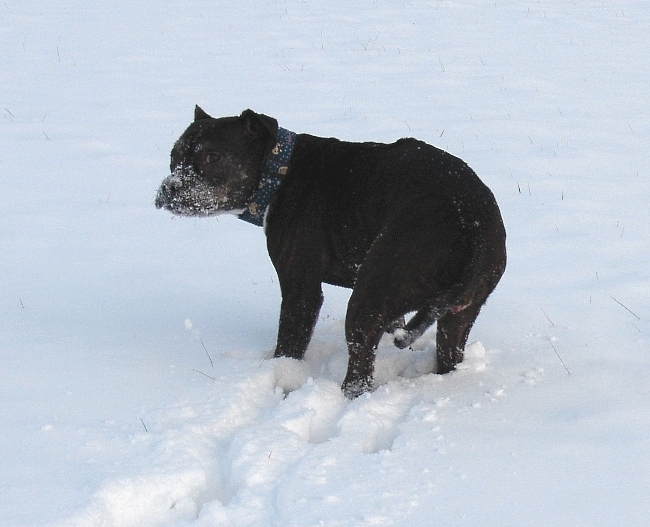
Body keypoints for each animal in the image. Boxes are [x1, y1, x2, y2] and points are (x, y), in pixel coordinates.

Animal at [154, 106, 504, 396]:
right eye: (174, 156)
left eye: (212, 157)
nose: (167, 189)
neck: (279, 171)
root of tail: (473, 227)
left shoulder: (301, 290)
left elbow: (289, 346)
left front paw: (283, 377)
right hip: (457, 314)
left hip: (367, 301)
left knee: (359, 375)